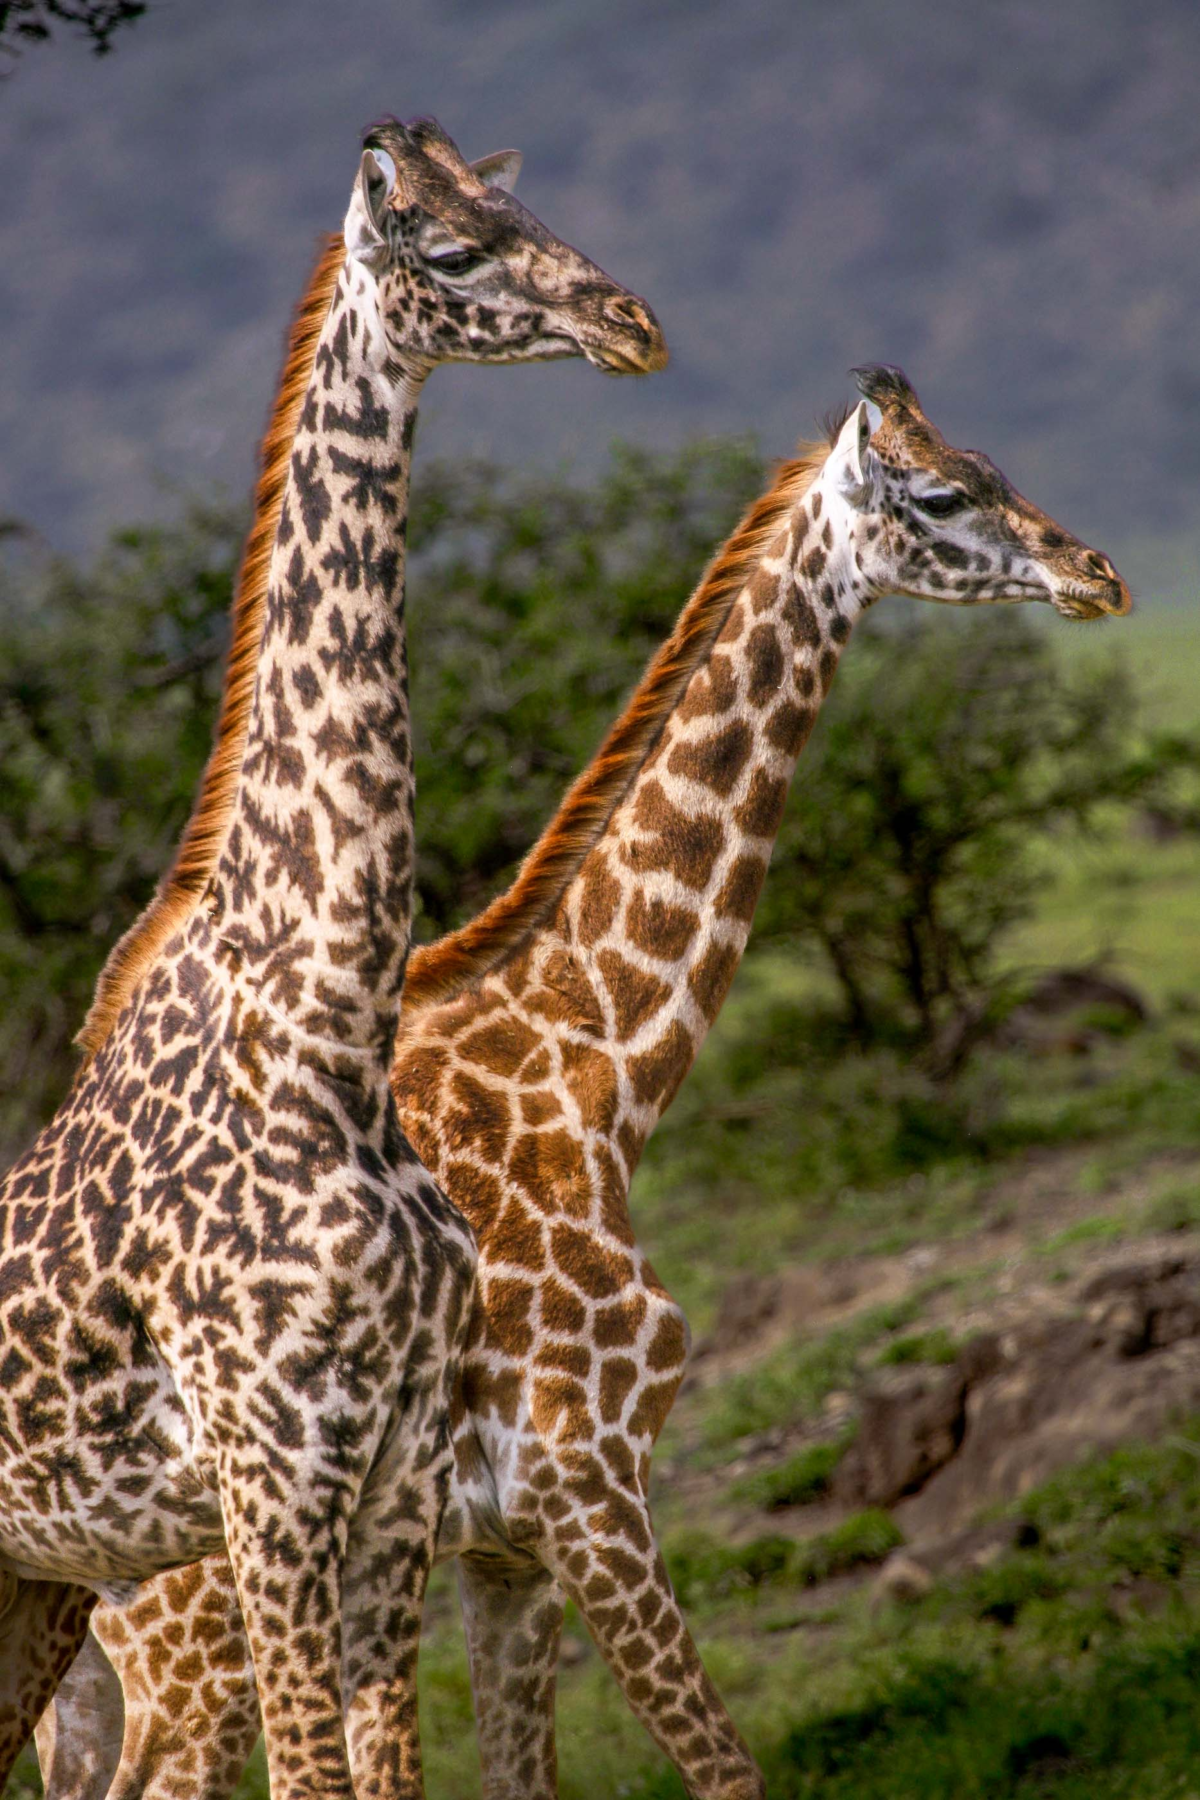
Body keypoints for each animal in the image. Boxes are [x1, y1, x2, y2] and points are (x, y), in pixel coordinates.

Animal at [0, 111, 666, 1800]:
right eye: (450, 242)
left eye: (523, 203)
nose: (633, 322)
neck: (328, 1044)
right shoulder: (273, 1487)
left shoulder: (394, 1493)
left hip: (38, 1580)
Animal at [39, 363, 1131, 1800]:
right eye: (945, 494)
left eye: (996, 462)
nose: (1099, 574)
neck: (601, 1070)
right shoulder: (590, 1484)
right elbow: (728, 1769)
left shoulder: (508, 1546)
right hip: (194, 1622)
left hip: (103, 1640)